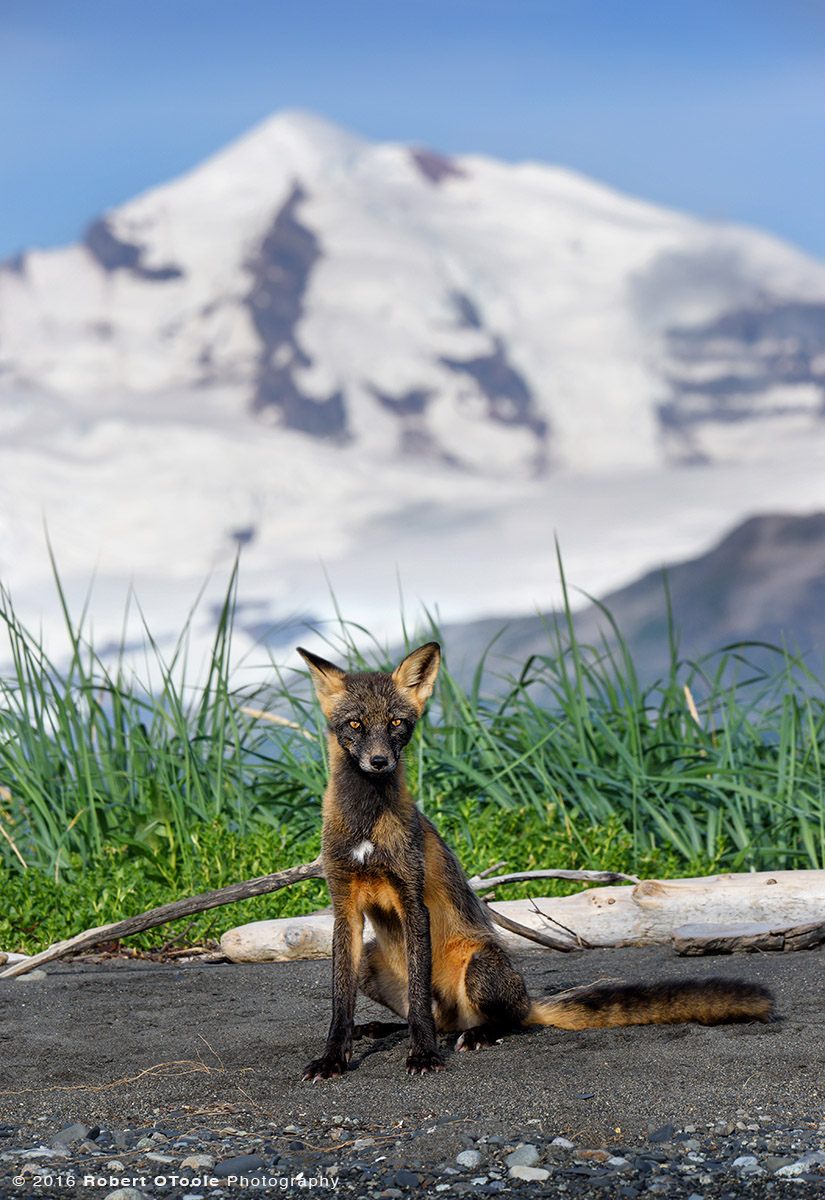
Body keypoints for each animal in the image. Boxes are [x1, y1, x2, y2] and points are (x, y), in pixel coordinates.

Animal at [296, 643, 772, 1084]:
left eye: (396, 723)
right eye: (355, 724)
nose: (379, 762)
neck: (366, 829)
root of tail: (525, 998)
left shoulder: (412, 899)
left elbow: (417, 1003)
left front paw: (424, 1054)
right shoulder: (344, 906)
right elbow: (341, 1003)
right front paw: (333, 1058)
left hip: (481, 969)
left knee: (495, 1019)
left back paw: (477, 1035)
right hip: (371, 962)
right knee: (429, 1013)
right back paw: (381, 1028)